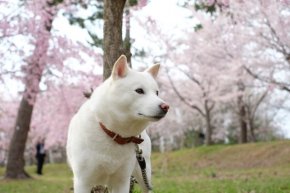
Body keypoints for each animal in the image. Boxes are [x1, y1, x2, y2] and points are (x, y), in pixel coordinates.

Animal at [66, 54, 169, 193]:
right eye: (139, 90)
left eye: (156, 92)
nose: (166, 107)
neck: (114, 134)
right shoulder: (82, 182)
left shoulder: (122, 181)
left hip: (143, 172)